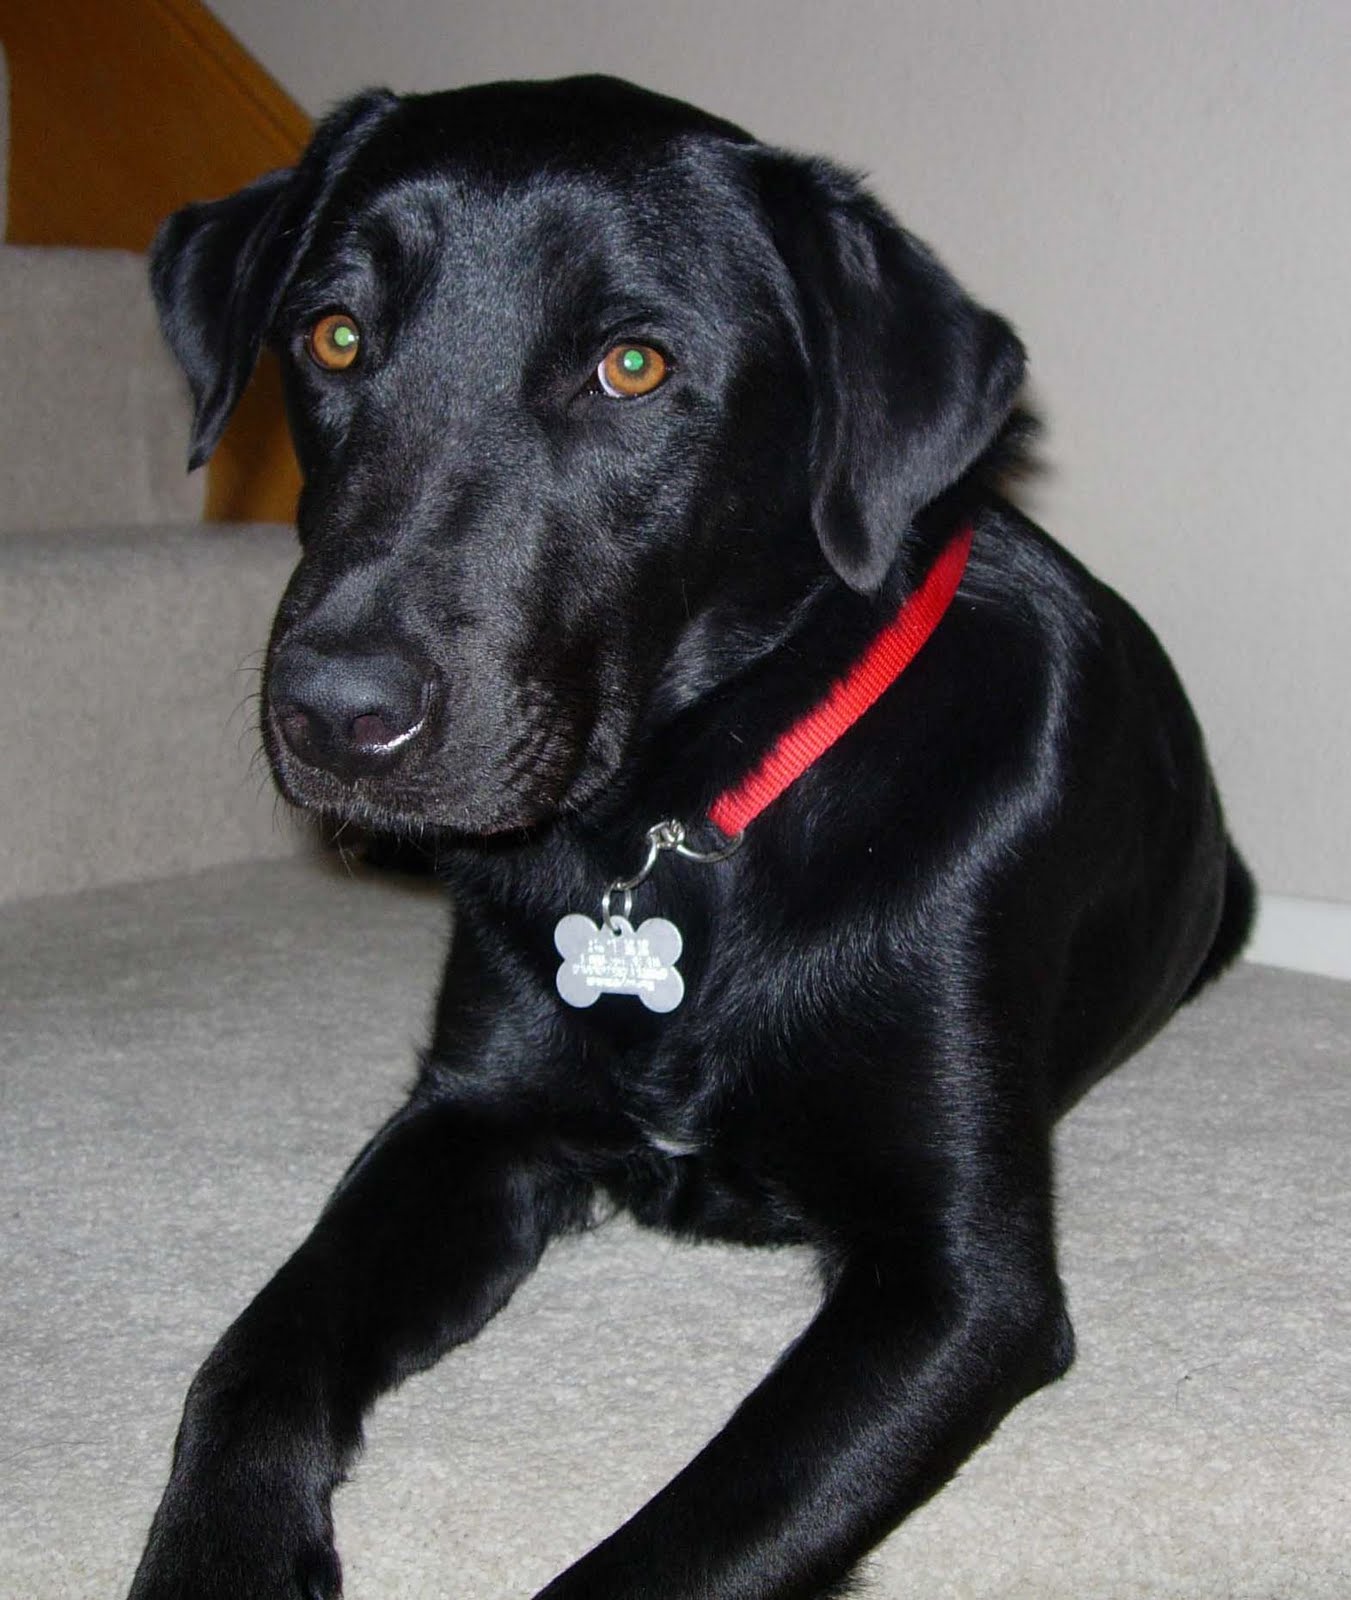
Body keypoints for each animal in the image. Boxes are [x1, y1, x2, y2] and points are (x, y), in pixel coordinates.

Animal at [131, 75, 1253, 1599]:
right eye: (335, 334)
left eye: (632, 367)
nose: (334, 714)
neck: (674, 826)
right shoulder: (469, 1123)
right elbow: (253, 1353)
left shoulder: (957, 1277)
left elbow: (686, 1538)